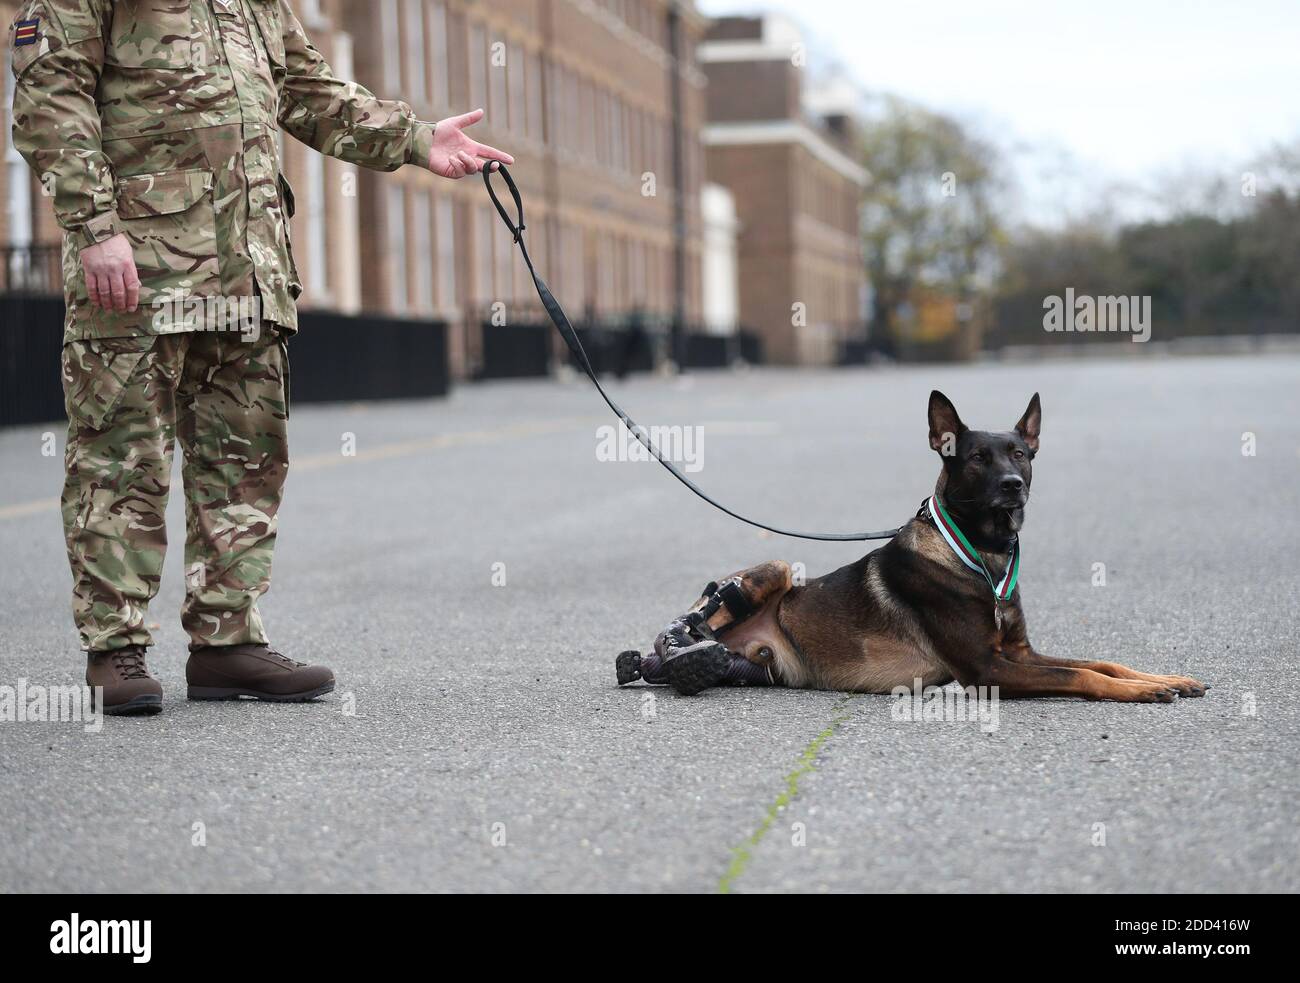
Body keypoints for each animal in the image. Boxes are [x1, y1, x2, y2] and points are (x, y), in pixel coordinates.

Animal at [616, 387, 1206, 702]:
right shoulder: (987, 670)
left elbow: (1106, 662)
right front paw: (1141, 691)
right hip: (779, 565)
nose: (1013, 486)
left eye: (1020, 454)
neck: (982, 557)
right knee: (679, 629)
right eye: (978, 459)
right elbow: (1081, 674)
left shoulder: (1019, 653)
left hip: (762, 662)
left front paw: (1161, 677)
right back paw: (679, 648)